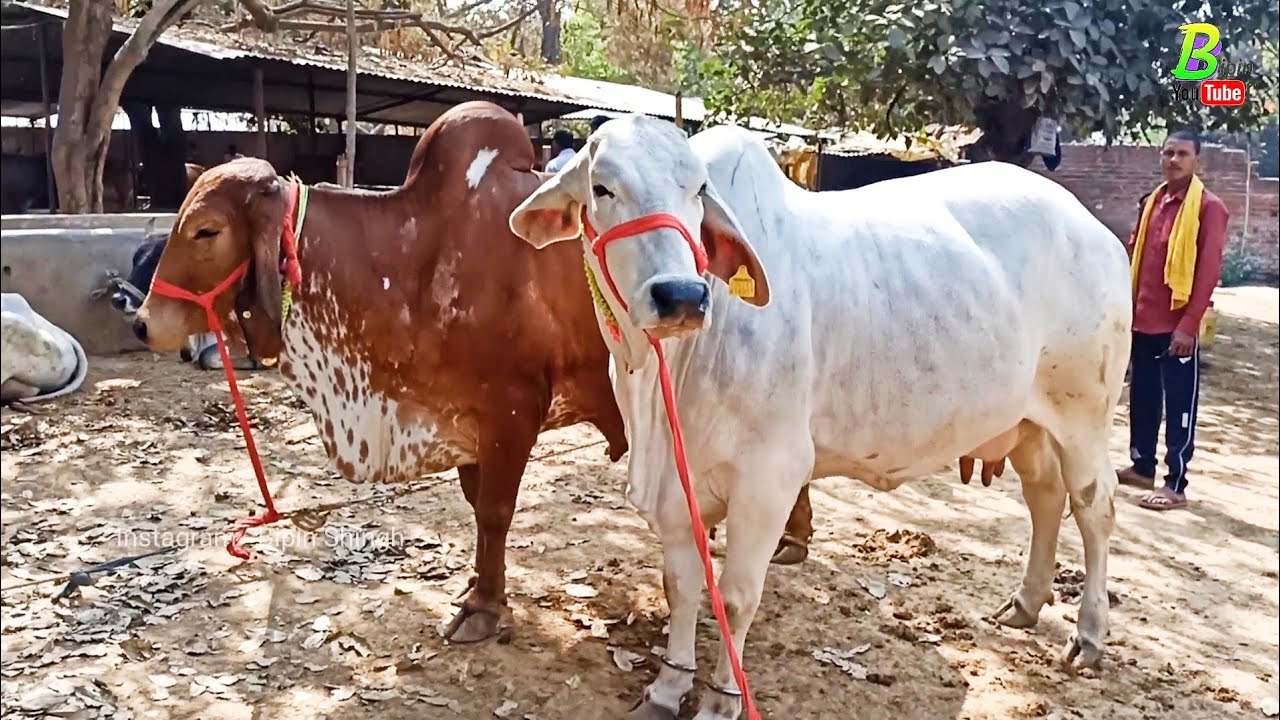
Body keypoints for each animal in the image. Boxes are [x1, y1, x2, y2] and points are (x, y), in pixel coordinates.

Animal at [128, 101, 632, 643]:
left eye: (206, 230)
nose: (143, 324)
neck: (414, 261)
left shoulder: (512, 413)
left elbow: (495, 513)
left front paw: (484, 607)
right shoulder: (467, 422)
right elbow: (477, 507)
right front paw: (476, 585)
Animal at [508, 116, 1132, 719]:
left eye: (698, 190)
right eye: (602, 188)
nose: (681, 295)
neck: (662, 380)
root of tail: (1095, 229)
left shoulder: (769, 481)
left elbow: (734, 597)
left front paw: (722, 701)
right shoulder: (675, 491)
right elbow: (681, 586)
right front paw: (667, 688)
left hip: (1084, 415)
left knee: (1093, 507)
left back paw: (1089, 635)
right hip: (1029, 424)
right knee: (1044, 496)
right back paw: (1025, 603)